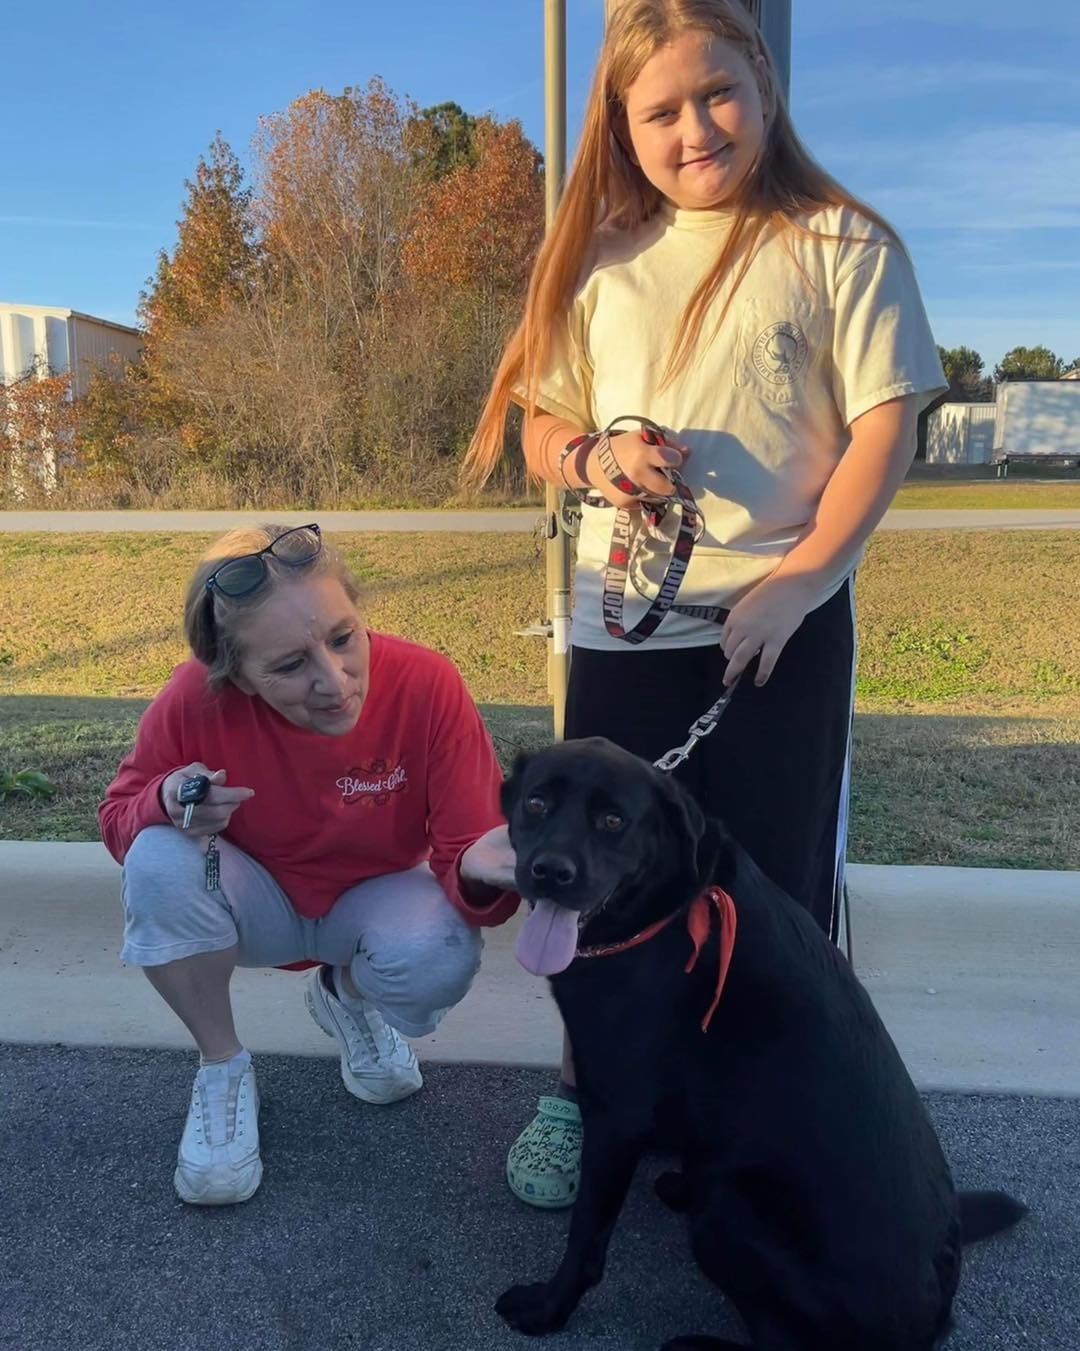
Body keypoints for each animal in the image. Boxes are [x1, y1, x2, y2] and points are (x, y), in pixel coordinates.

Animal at [497, 740, 1021, 1351]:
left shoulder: (615, 1115)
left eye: (613, 821)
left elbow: (585, 1236)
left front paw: (547, 1310)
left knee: (781, 1339)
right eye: (536, 803)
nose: (549, 872)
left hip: (729, 1214)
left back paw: (696, 1342)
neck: (669, 909)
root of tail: (931, 1319)